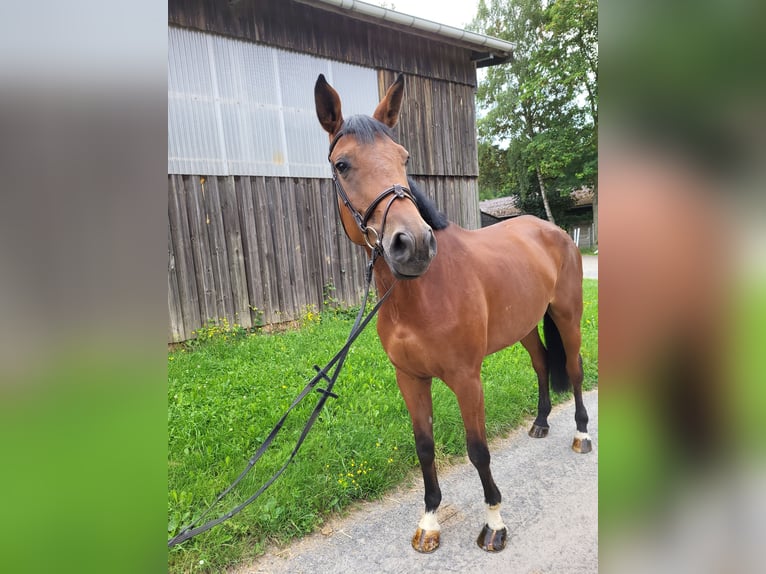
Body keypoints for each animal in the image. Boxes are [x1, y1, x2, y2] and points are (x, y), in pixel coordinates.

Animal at [316, 74, 592, 556]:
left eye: (404, 158)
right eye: (343, 164)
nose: (413, 244)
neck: (421, 295)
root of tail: (552, 229)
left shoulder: (467, 378)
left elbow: (477, 449)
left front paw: (495, 523)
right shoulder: (409, 378)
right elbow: (424, 446)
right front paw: (428, 521)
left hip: (567, 316)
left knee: (573, 370)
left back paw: (581, 435)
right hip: (524, 326)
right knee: (542, 363)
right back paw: (540, 423)